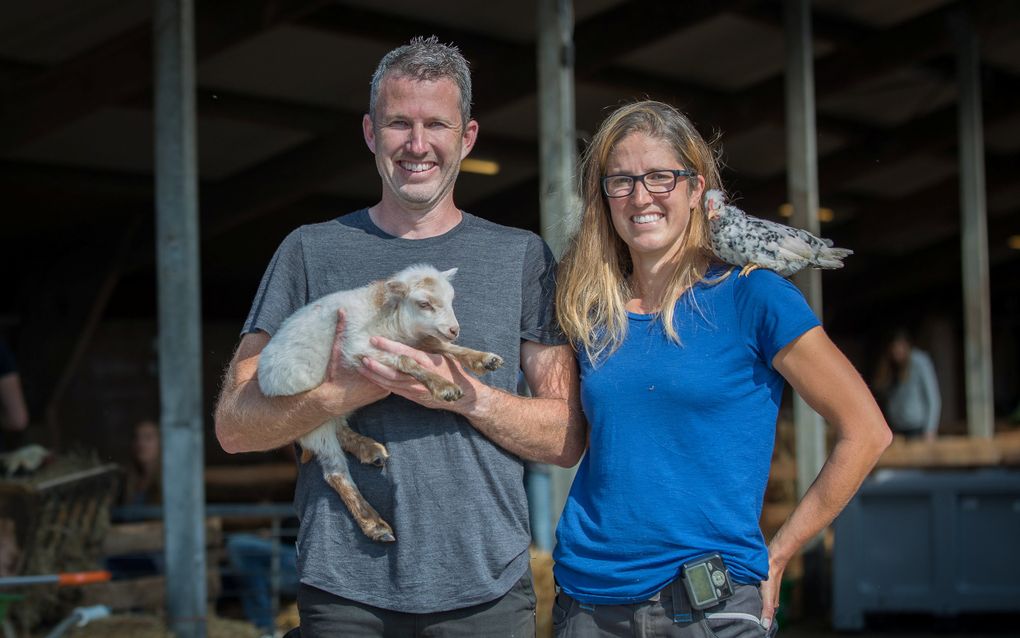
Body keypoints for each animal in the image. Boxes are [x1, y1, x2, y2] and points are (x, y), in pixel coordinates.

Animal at [255, 263, 501, 543]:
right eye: (424, 303)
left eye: (451, 299)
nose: (454, 329)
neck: (386, 316)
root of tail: (265, 383)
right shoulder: (359, 347)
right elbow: (407, 359)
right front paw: (444, 387)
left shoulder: (412, 339)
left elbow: (438, 344)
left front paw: (482, 359)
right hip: (311, 421)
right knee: (336, 473)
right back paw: (375, 524)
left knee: (341, 429)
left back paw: (369, 450)